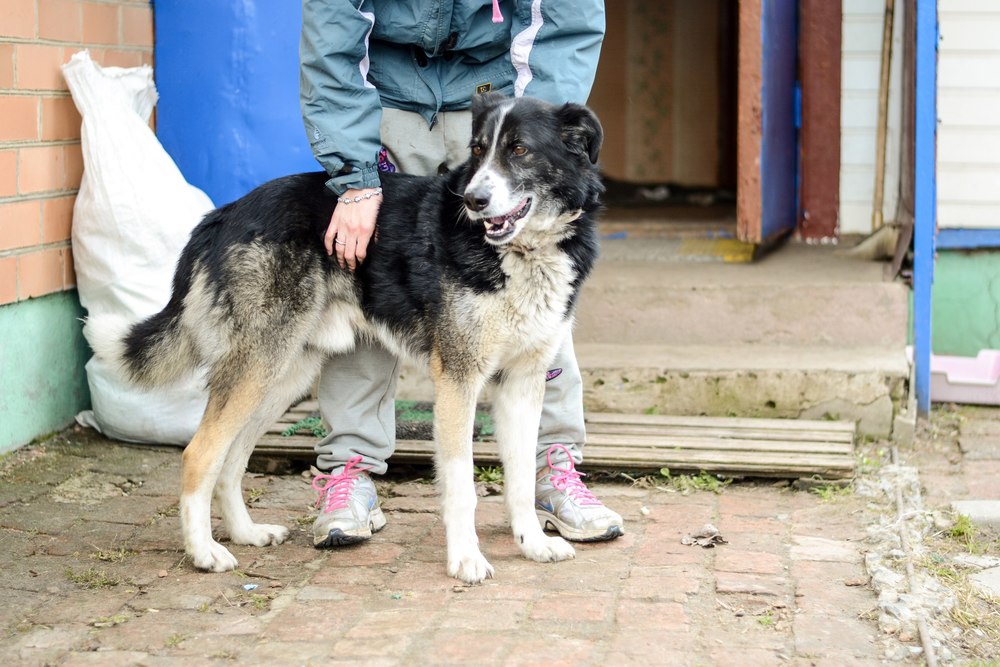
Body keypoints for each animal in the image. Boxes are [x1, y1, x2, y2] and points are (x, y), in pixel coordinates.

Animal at [86, 92, 600, 584]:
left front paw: (533, 544)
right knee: (200, 453)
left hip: (282, 377)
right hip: (258, 367)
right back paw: (204, 553)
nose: (473, 201)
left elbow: (521, 481)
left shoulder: (522, 384)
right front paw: (466, 560)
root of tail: (227, 210)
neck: (522, 253)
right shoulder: (458, 379)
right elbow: (462, 488)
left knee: (231, 459)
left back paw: (246, 533)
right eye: (478, 151)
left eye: (519, 150)